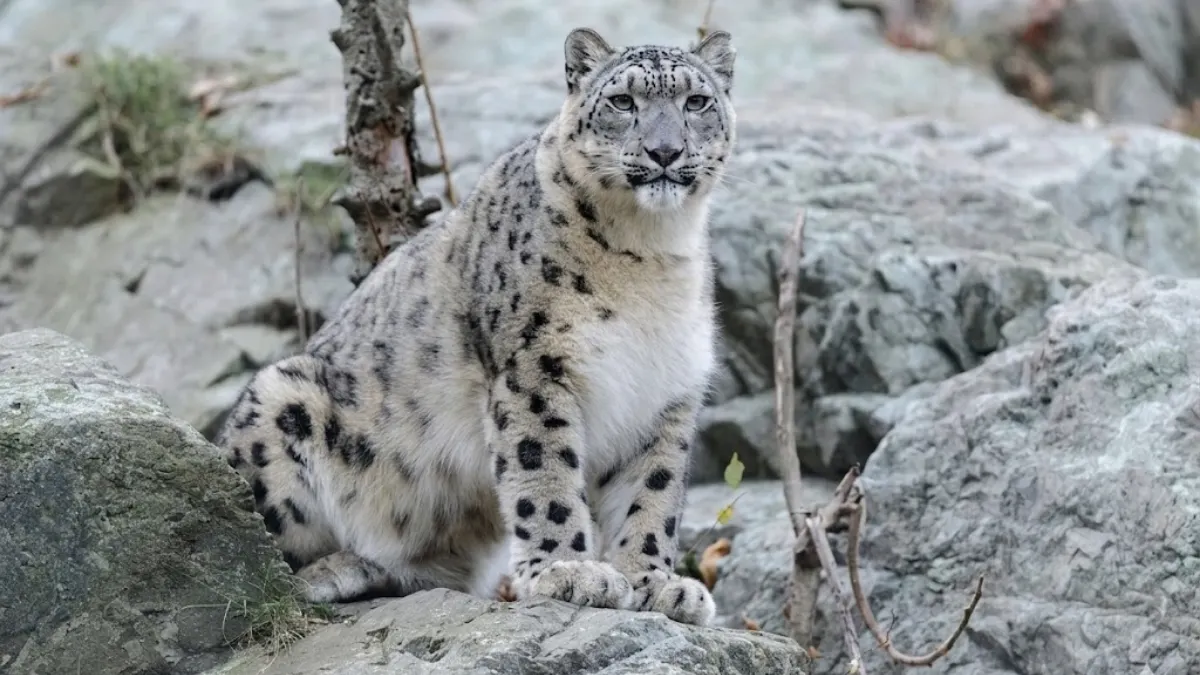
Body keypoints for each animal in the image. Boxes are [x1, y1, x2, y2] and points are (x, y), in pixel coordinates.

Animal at [217, 26, 736, 626]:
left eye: (696, 101)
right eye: (623, 101)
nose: (665, 151)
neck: (648, 251)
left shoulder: (665, 392)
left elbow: (652, 492)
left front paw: (656, 583)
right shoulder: (534, 366)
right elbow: (545, 470)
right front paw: (568, 571)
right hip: (281, 400)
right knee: (255, 560)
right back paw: (333, 570)